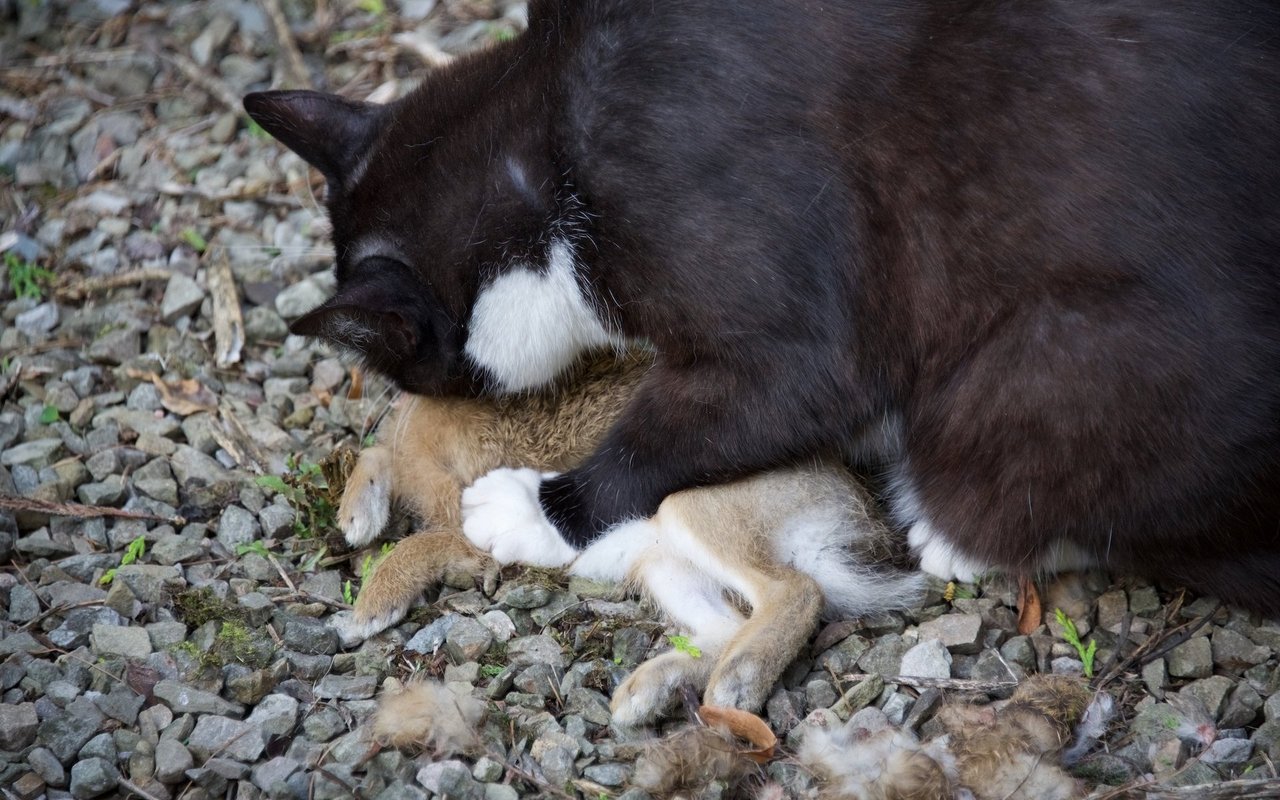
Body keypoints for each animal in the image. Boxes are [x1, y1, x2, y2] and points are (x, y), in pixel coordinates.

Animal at [247, 0, 1280, 611]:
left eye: (411, 367)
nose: (428, 405)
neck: (539, 144)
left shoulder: (750, 274)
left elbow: (716, 411)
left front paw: (546, 510)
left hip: (1061, 361)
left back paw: (955, 533)